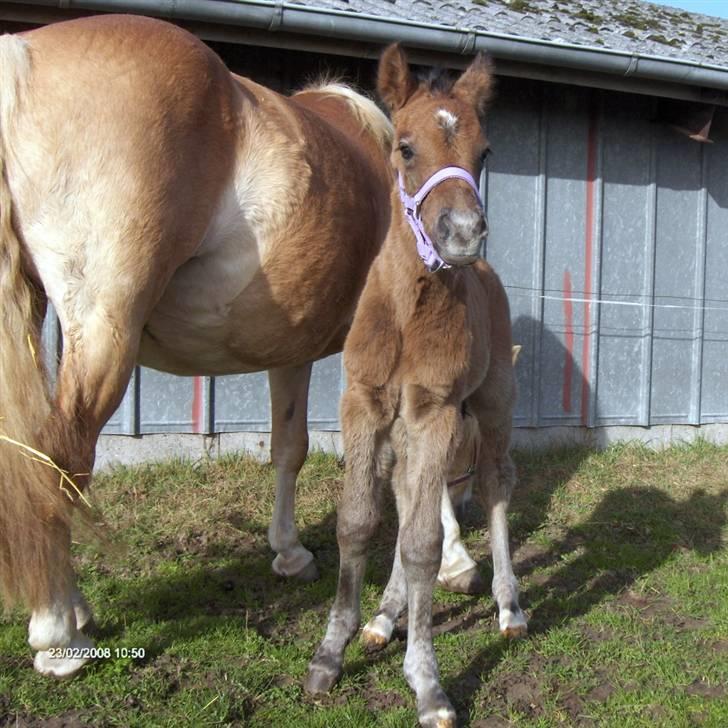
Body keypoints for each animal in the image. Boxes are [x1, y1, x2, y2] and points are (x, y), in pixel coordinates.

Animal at [0, 14, 478, 680]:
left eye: (482, 151)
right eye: (410, 149)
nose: (464, 235)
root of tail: (21, 55)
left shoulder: (292, 352)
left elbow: (289, 448)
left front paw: (289, 552)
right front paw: (457, 557)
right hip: (102, 333)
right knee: (58, 463)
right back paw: (57, 629)